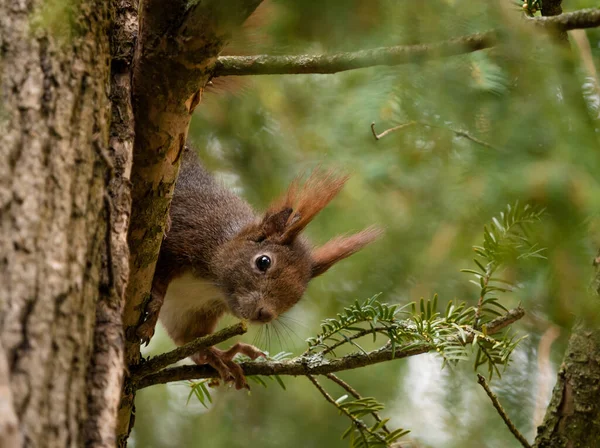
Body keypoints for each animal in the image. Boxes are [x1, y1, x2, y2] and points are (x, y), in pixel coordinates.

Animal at [138, 149, 378, 386]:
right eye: (263, 262)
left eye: (299, 296)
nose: (266, 314)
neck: (211, 284)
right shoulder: (181, 240)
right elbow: (159, 282)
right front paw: (153, 311)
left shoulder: (192, 309)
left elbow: (191, 338)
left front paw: (219, 357)